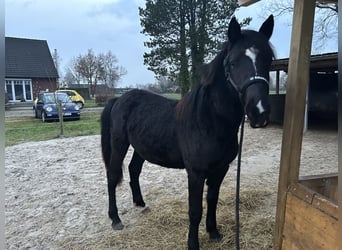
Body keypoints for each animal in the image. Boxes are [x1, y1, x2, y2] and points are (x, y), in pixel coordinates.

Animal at [100, 15, 274, 250]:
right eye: (233, 63)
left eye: (269, 60)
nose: (259, 112)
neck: (208, 122)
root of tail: (119, 99)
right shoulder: (196, 173)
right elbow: (195, 211)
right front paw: (193, 244)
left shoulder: (221, 169)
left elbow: (212, 200)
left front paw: (214, 232)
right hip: (119, 143)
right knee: (112, 175)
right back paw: (116, 218)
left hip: (141, 147)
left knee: (134, 169)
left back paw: (140, 203)